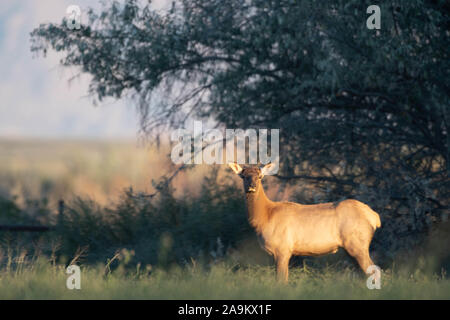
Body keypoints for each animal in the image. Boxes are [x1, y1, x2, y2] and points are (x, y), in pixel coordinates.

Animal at [227, 164, 382, 282]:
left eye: (260, 176)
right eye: (243, 176)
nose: (252, 186)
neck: (264, 218)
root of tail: (374, 217)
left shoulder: (283, 248)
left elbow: (282, 280)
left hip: (358, 244)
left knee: (374, 271)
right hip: (351, 248)